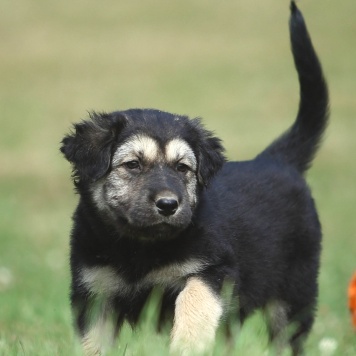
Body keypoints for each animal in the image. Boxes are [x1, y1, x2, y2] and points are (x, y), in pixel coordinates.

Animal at [60, 2, 328, 354]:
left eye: (182, 168)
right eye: (133, 165)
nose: (168, 205)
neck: (139, 247)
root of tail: (276, 160)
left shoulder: (212, 270)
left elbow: (193, 303)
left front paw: (186, 345)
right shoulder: (94, 290)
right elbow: (93, 340)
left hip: (293, 294)